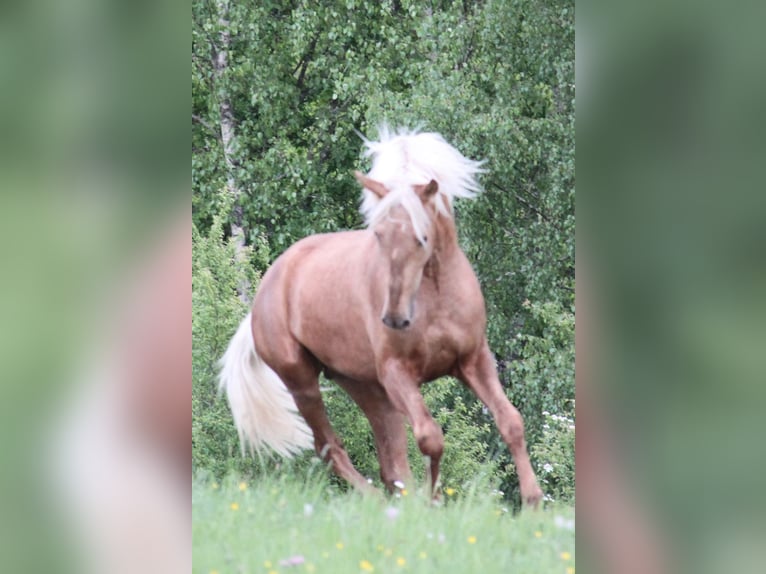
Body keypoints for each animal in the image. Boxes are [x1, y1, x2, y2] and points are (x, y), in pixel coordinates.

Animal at [219, 128, 543, 507]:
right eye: (378, 234)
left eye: (422, 237)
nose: (395, 319)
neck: (434, 299)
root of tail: (266, 289)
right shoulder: (398, 372)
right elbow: (430, 437)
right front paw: (434, 501)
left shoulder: (473, 360)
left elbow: (511, 421)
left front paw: (533, 501)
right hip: (303, 381)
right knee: (330, 448)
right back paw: (377, 503)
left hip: (367, 387)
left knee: (390, 465)